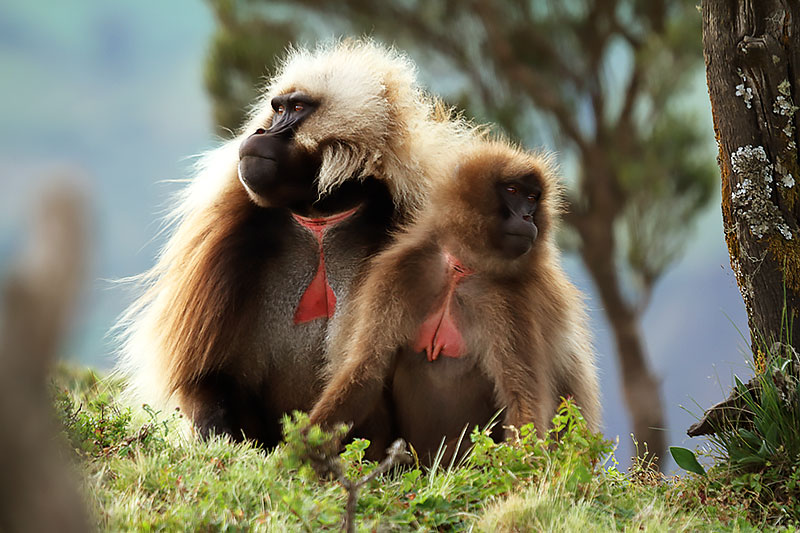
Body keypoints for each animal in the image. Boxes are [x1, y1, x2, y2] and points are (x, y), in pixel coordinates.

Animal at [115, 40, 473, 451]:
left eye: (298, 109)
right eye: (278, 108)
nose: (261, 131)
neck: (321, 216)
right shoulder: (225, 233)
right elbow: (206, 376)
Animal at [308, 140, 600, 464]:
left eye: (532, 197)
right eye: (513, 190)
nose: (528, 218)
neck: (462, 268)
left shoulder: (511, 302)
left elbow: (523, 399)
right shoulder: (398, 272)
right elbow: (366, 370)